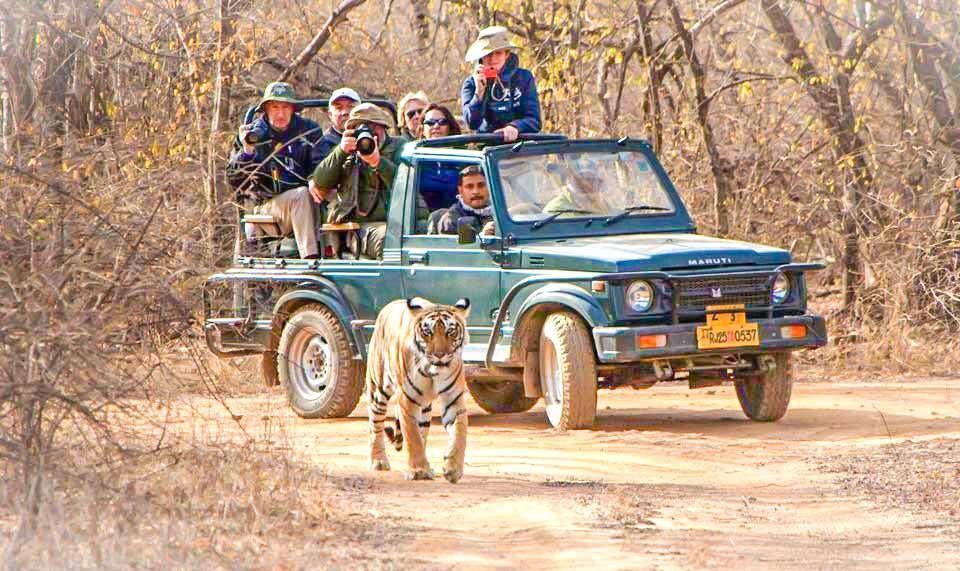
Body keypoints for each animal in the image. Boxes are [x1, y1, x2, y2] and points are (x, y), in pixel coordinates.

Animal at [366, 297, 470, 483]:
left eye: (450, 331)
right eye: (427, 332)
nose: (439, 355)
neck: (433, 370)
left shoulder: (454, 400)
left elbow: (459, 434)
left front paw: (453, 469)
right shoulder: (407, 401)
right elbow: (412, 437)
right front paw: (418, 470)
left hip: (425, 407)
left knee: (423, 432)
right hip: (378, 389)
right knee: (375, 425)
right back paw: (378, 461)